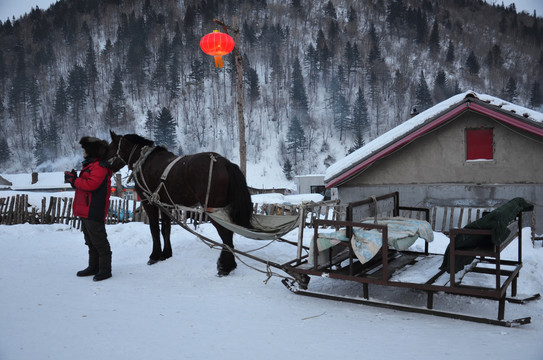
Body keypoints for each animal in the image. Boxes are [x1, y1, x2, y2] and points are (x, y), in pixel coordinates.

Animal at [106, 131, 255, 276]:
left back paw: (225, 266)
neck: (144, 161)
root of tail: (224, 162)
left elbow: (154, 229)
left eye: (110, 147)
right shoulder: (165, 204)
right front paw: (166, 254)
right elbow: (166, 229)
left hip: (214, 209)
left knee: (226, 235)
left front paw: (154, 256)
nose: (106, 165)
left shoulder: (149, 202)